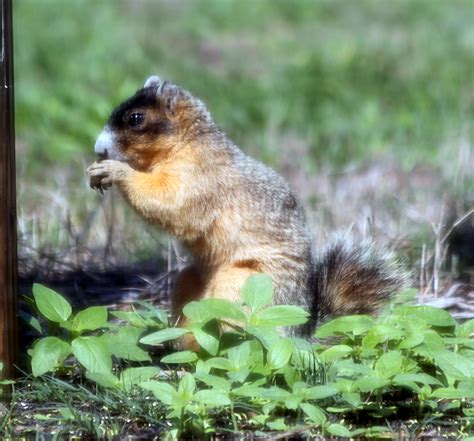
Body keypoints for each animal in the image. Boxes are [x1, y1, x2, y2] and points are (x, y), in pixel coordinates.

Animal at [88, 75, 408, 336]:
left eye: (136, 118)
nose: (98, 148)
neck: (187, 144)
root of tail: (302, 337)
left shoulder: (200, 178)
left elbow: (170, 202)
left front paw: (115, 171)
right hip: (189, 282)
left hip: (242, 285)